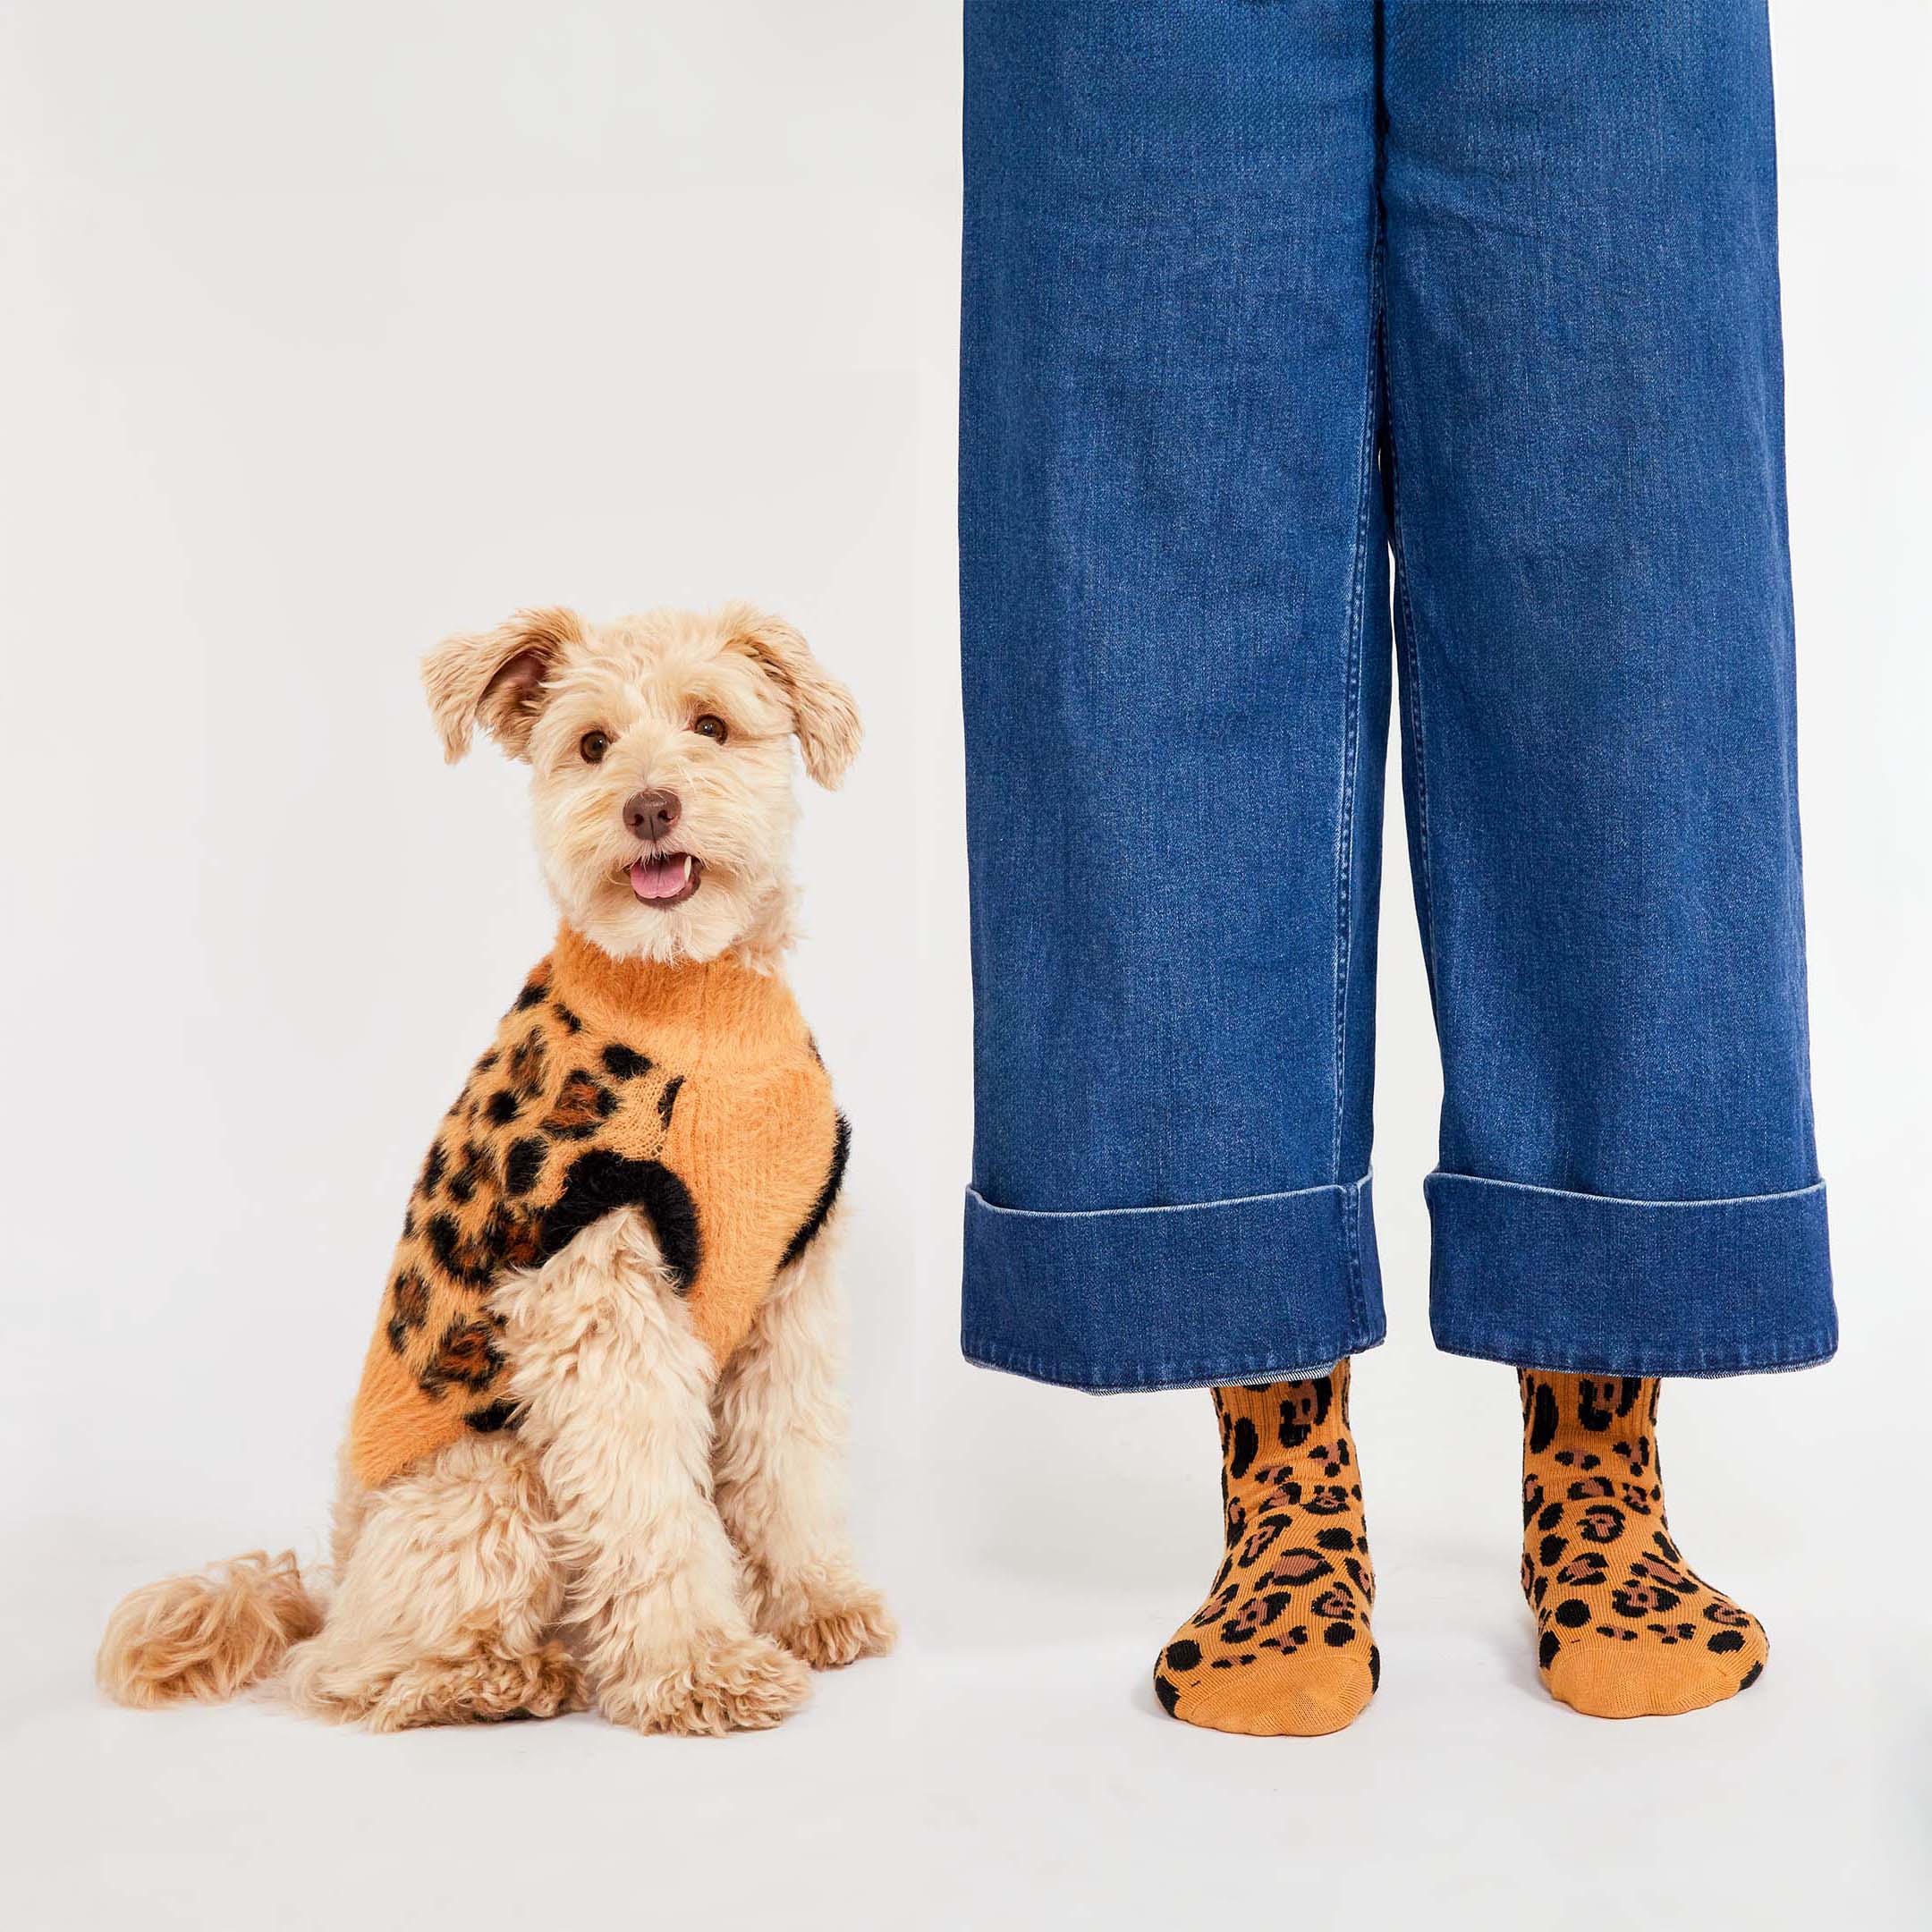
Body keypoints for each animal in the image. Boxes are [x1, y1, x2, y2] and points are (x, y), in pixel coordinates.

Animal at [99, 602, 896, 1739]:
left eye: (710, 724)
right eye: (593, 743)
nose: (650, 807)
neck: (689, 998)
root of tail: (332, 1580)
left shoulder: (789, 1288)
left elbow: (784, 1463)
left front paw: (813, 1606)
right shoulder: (596, 1296)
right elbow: (649, 1505)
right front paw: (698, 1667)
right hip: (490, 1470)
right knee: (348, 1670)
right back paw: (498, 1675)